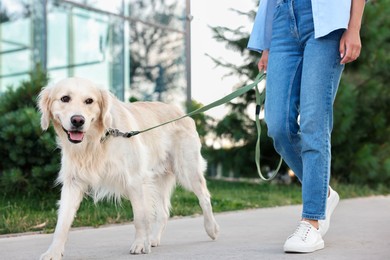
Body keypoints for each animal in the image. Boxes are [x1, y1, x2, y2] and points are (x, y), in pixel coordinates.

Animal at [38, 76, 219, 258]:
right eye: (64, 98)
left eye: (89, 101)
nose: (78, 120)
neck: (97, 141)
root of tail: (182, 112)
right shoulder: (72, 183)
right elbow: (62, 223)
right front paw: (53, 252)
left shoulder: (135, 179)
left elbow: (140, 218)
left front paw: (139, 244)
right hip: (158, 180)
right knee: (163, 212)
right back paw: (153, 239)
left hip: (187, 170)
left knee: (205, 197)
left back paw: (211, 229)